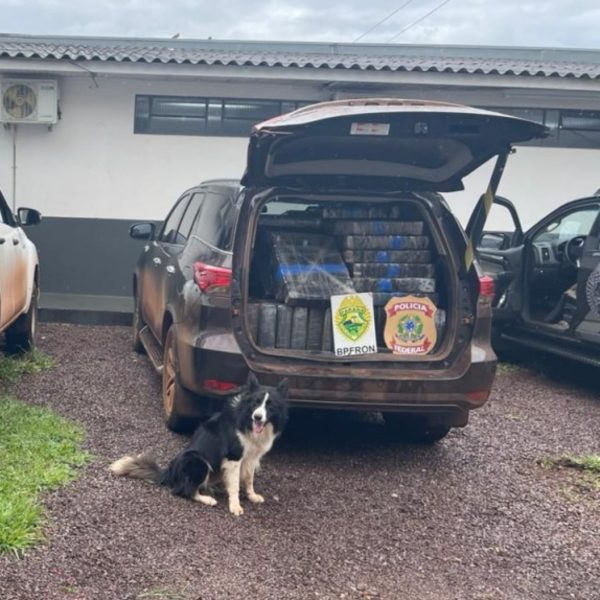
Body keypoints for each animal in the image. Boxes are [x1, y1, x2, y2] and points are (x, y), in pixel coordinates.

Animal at [110, 376, 288, 516]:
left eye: (270, 405)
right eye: (255, 403)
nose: (257, 417)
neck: (246, 420)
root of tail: (171, 472)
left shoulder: (251, 456)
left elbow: (249, 479)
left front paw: (252, 496)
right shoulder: (234, 457)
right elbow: (235, 485)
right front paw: (235, 506)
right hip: (198, 460)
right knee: (183, 491)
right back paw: (208, 499)